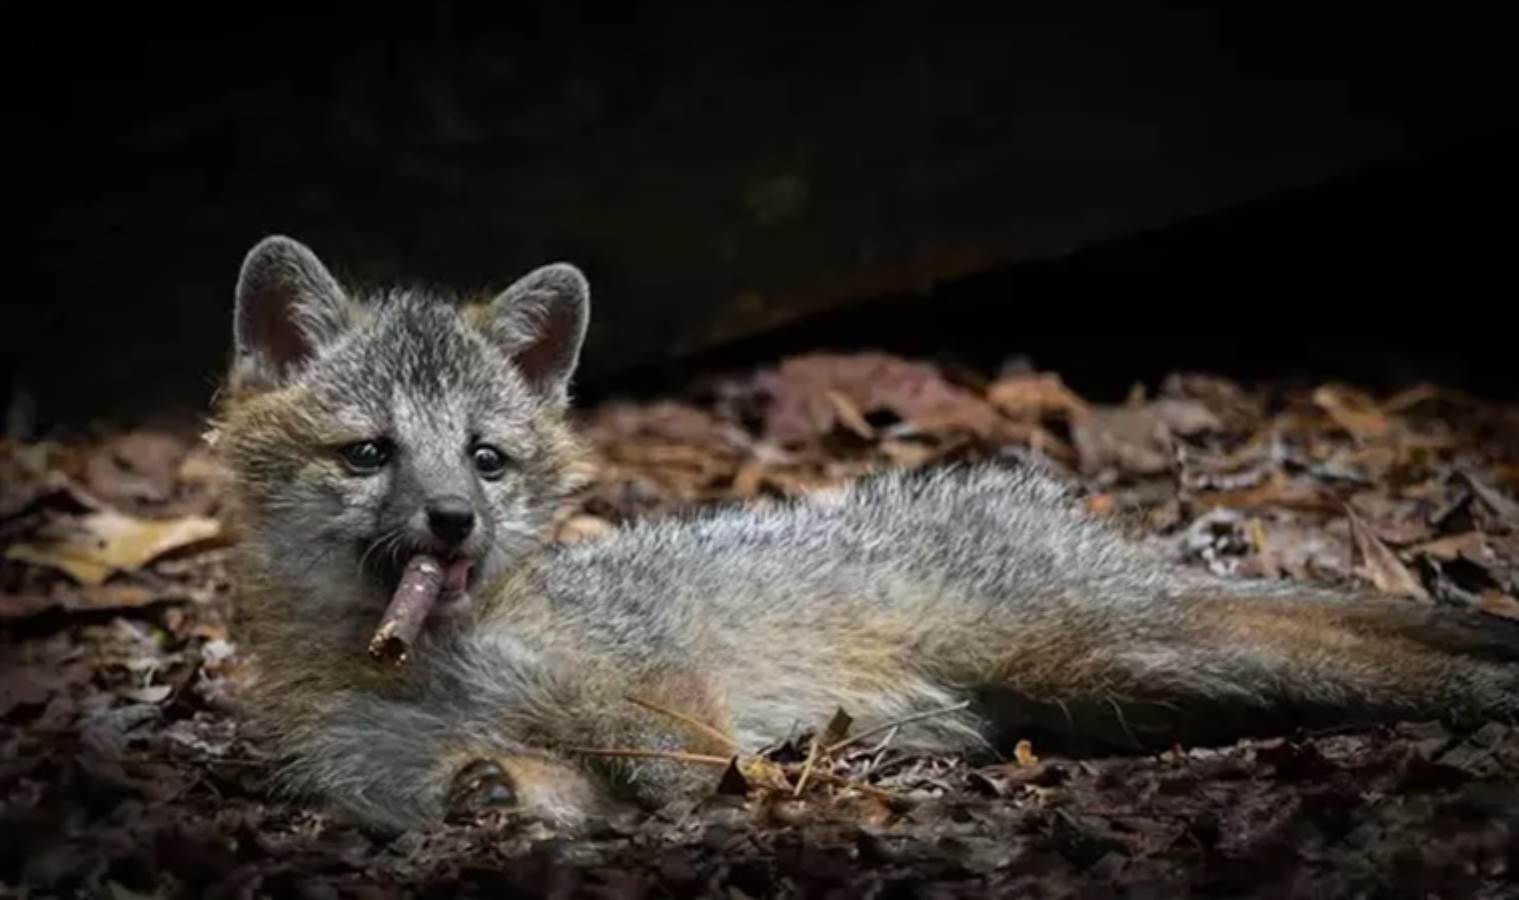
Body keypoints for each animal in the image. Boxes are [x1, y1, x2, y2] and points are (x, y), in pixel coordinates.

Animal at [214, 235, 1519, 833]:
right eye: (370, 454)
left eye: (485, 458)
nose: (453, 520)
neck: (438, 663)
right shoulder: (444, 778)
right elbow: (507, 788)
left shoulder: (656, 698)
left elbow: (687, 773)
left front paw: (756, 801)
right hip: (1117, 689)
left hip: (1118, 652)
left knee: (1355, 649)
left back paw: (1482, 692)